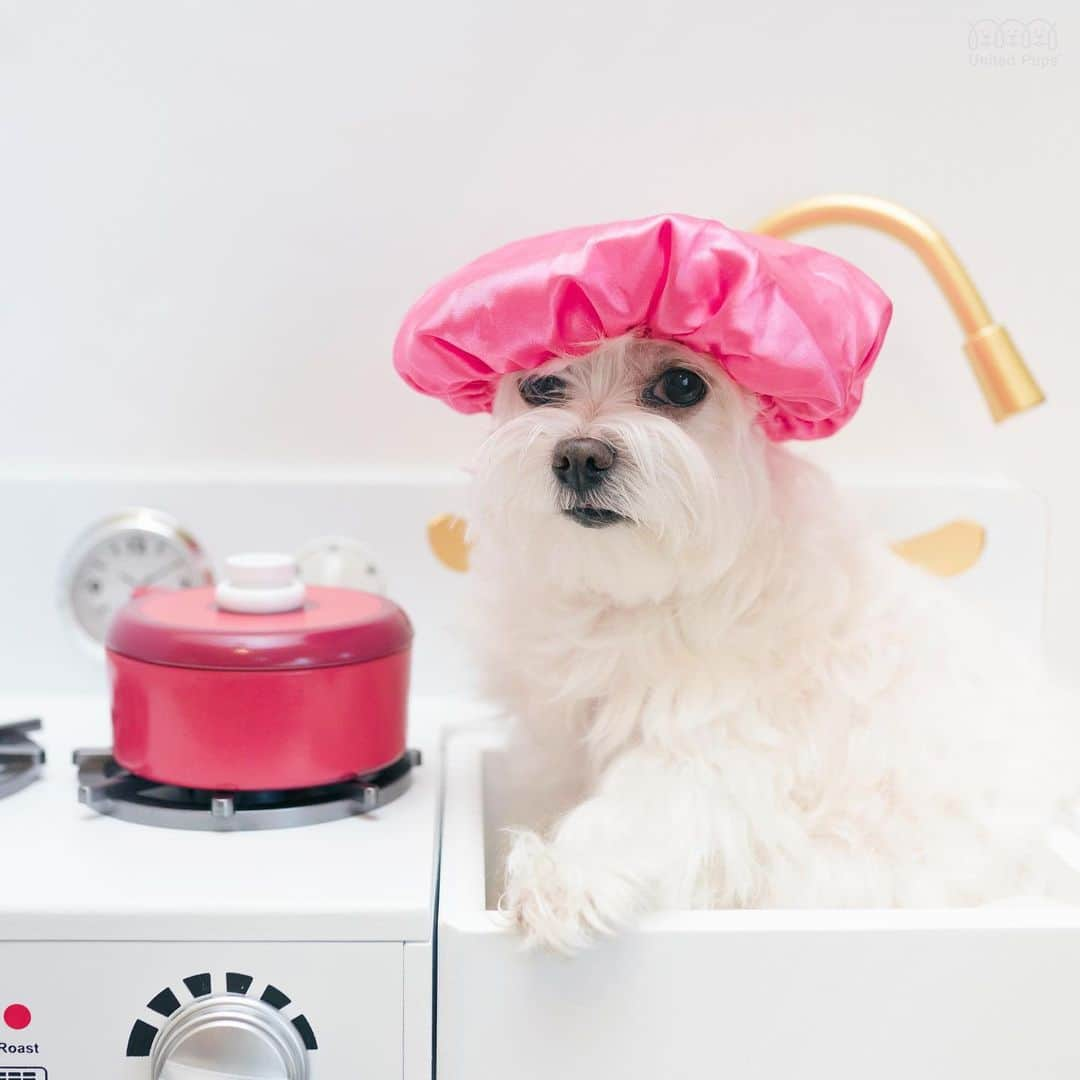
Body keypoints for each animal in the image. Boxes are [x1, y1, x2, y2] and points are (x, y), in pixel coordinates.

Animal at [468, 332, 1080, 950]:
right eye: (541, 382)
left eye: (682, 384)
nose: (579, 457)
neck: (643, 596)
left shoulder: (719, 754)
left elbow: (645, 804)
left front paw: (564, 875)